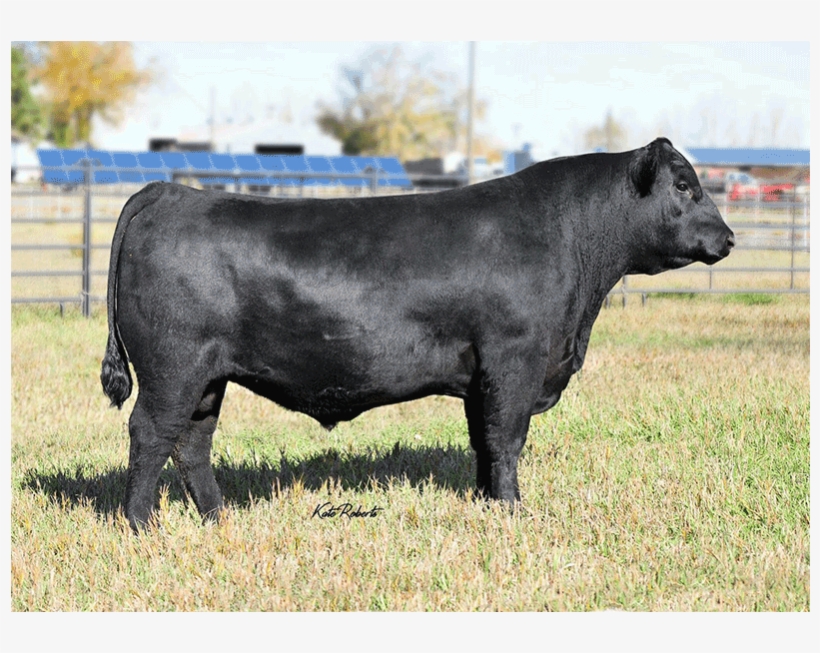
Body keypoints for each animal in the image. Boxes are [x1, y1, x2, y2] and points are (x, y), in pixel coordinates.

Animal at [101, 137, 734, 530]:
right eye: (684, 185)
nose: (728, 238)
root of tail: (171, 192)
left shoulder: (483, 375)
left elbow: (483, 441)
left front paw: (486, 504)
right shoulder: (514, 359)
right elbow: (506, 440)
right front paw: (513, 513)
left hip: (208, 377)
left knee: (191, 442)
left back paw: (217, 518)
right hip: (173, 367)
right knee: (150, 434)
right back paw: (142, 526)